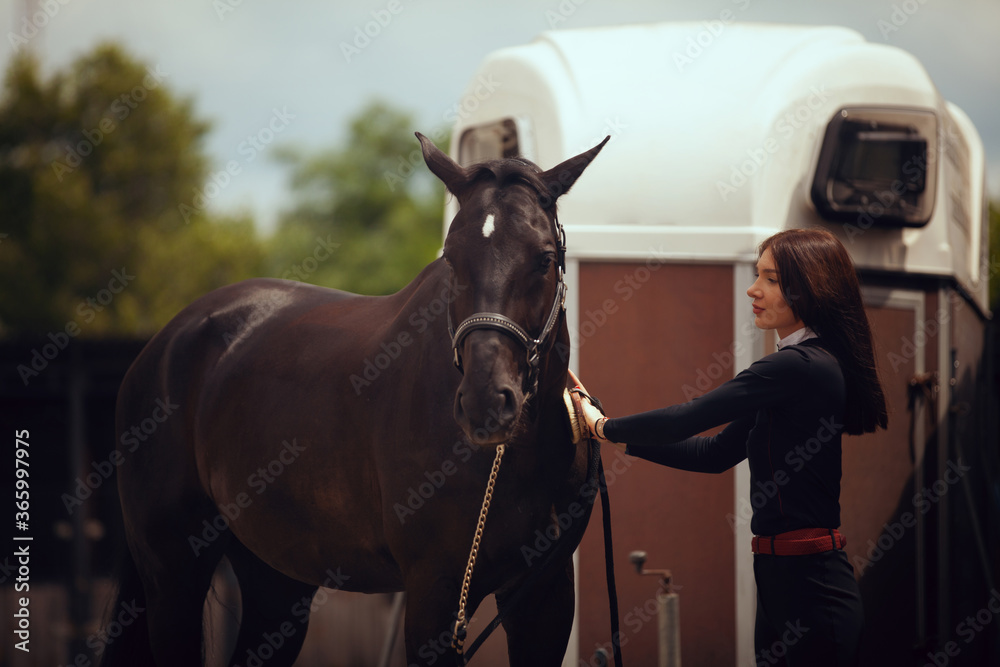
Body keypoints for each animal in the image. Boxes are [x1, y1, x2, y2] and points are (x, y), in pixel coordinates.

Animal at [107, 133, 608, 664]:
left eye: (544, 258)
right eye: (451, 258)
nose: (485, 403)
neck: (511, 462)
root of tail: (164, 343)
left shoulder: (544, 598)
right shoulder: (434, 594)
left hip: (276, 580)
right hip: (173, 575)